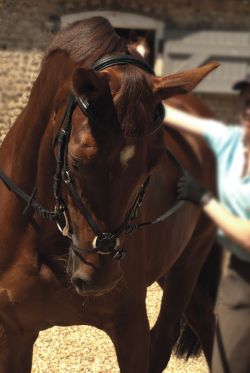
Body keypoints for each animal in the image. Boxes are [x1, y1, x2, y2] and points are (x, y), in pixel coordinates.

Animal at [0, 17, 221, 372]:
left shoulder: (130, 328)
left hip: (188, 263)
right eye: (76, 161)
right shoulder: (14, 333)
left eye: (153, 163)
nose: (99, 278)